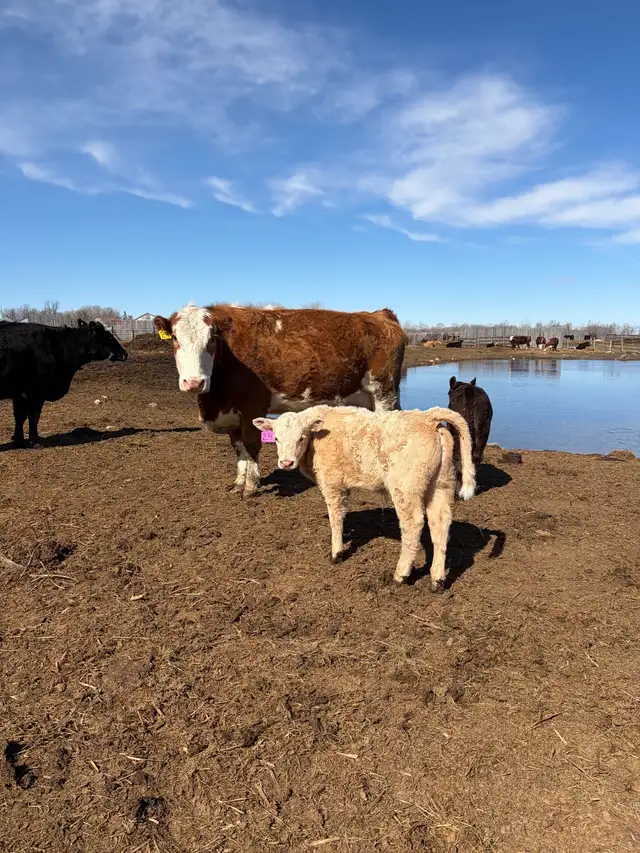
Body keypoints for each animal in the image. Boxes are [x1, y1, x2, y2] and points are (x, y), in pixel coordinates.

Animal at [154, 303, 406, 497]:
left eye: (211, 340)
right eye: (174, 338)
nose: (194, 382)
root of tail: (379, 314)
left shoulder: (253, 405)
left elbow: (251, 445)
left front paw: (251, 486)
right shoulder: (231, 415)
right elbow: (238, 448)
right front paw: (239, 482)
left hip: (384, 391)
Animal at [253, 406, 475, 591]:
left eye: (301, 437)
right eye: (276, 438)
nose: (286, 462)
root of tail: (427, 416)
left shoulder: (332, 483)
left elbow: (335, 517)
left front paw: (336, 553)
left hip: (405, 487)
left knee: (413, 524)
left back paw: (400, 575)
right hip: (441, 484)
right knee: (440, 523)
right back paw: (437, 579)